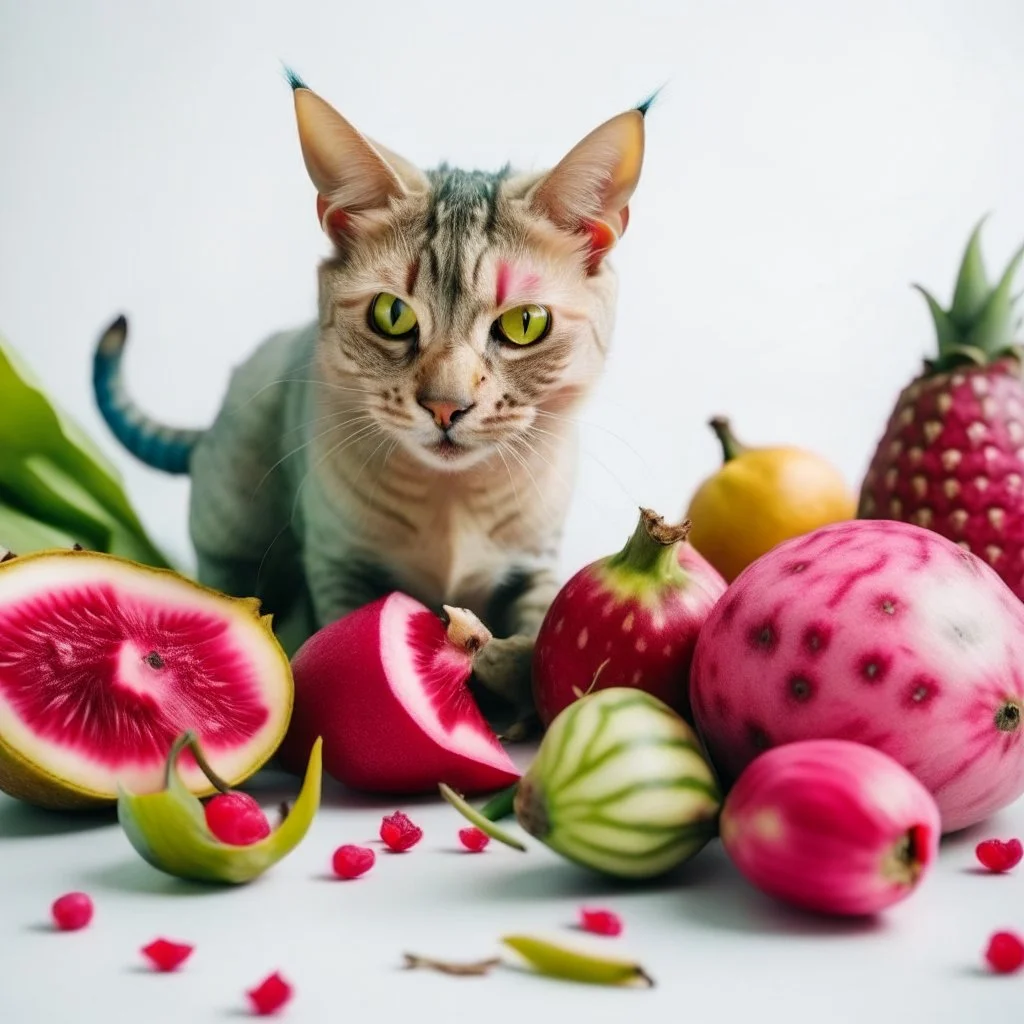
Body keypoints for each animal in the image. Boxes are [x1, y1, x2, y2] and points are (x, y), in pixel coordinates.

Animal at [90, 72, 647, 729]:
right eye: (392, 315)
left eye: (525, 323)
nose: (445, 406)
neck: (452, 504)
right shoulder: (338, 563)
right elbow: (342, 632)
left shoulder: (535, 562)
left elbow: (540, 633)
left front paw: (507, 681)